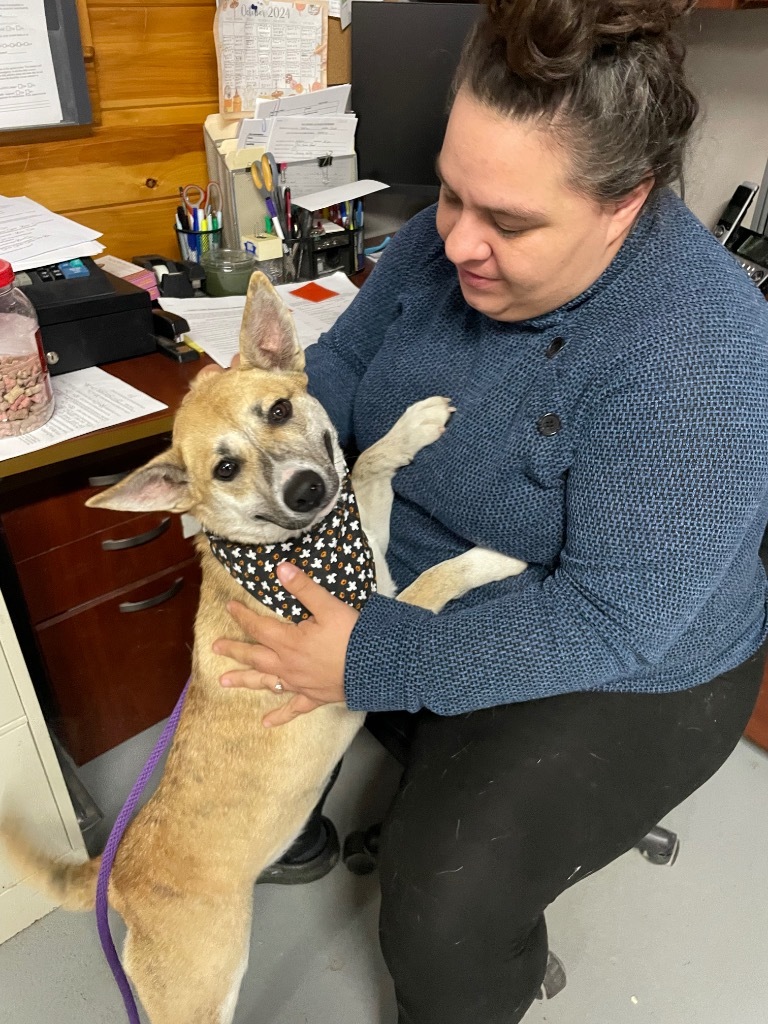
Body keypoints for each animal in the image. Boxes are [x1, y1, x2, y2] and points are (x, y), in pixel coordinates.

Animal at [0, 272, 528, 1024]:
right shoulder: (374, 632)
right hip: (199, 994)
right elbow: (439, 575)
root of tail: (117, 874)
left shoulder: (367, 540)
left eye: (279, 409)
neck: (296, 551)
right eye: (225, 467)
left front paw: (413, 427)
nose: (306, 489)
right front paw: (495, 558)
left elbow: (369, 461)